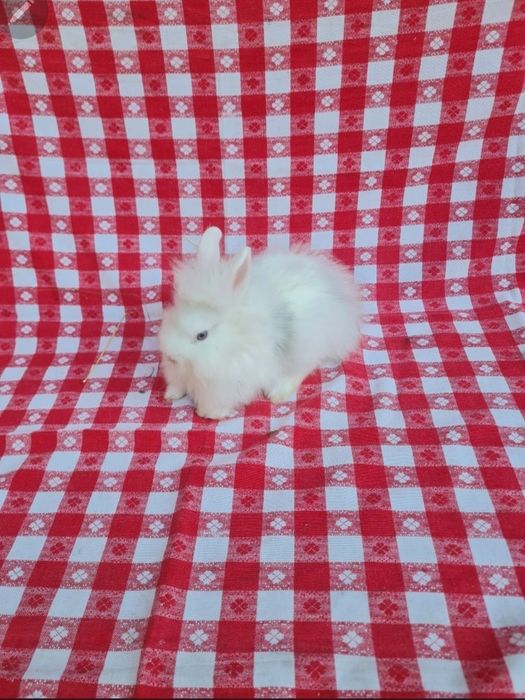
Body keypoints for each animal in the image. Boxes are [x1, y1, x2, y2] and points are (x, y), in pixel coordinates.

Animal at [159, 226, 361, 420]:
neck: (233, 341)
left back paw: (278, 392)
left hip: (307, 345)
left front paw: (209, 413)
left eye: (202, 335)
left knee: (302, 368)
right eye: (174, 315)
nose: (171, 356)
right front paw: (171, 395)